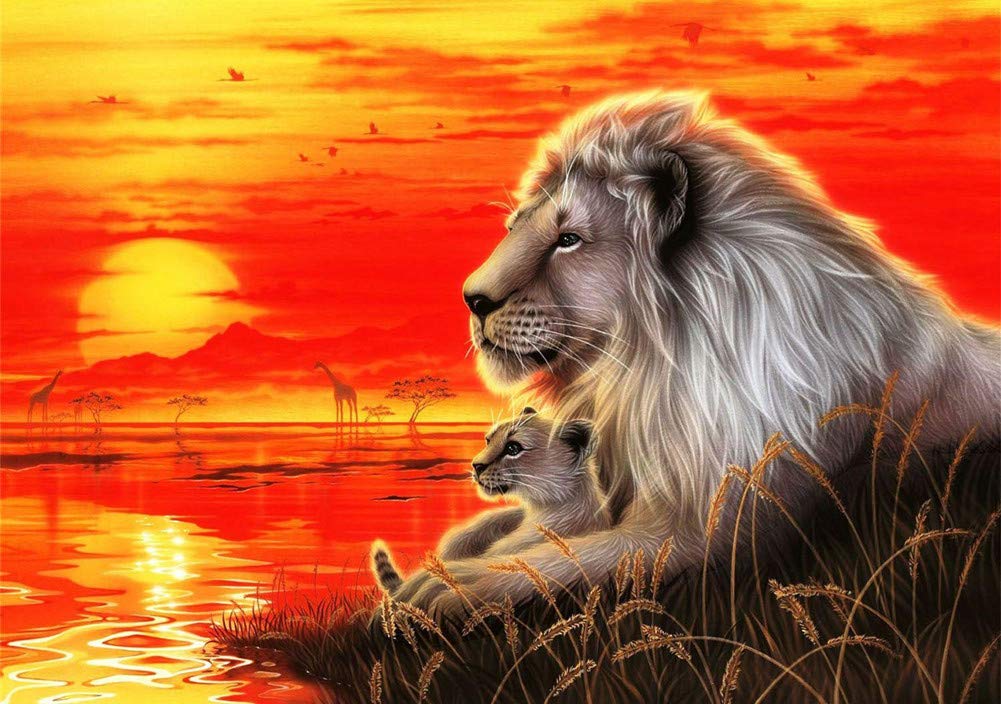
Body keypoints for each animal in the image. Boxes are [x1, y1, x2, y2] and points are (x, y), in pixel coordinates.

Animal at [398, 90, 1000, 616]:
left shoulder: (710, 535)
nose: (472, 298)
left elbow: (567, 561)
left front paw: (442, 589)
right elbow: (502, 530)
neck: (641, 381)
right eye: (512, 227)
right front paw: (444, 557)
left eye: (568, 239)